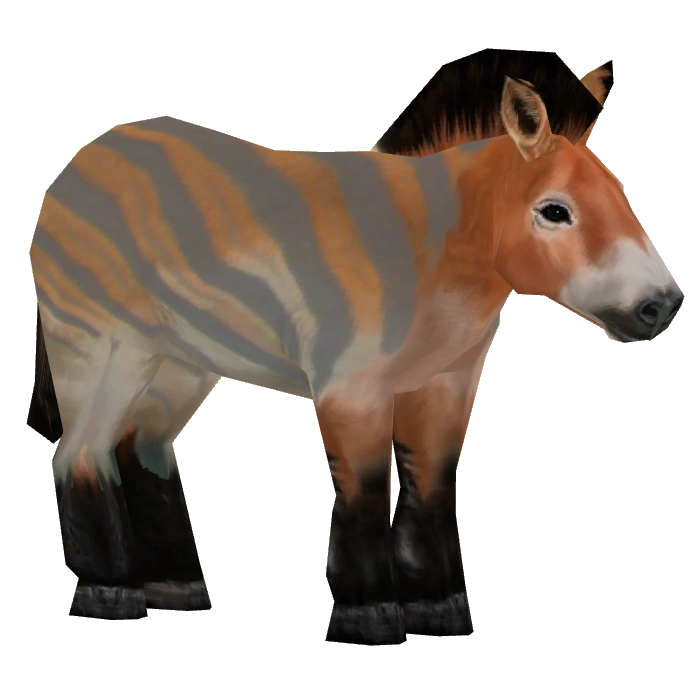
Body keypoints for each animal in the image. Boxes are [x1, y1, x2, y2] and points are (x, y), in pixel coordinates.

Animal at [26, 49, 683, 646]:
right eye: (554, 211)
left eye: (621, 196)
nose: (664, 305)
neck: (429, 250)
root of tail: (85, 156)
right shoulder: (351, 387)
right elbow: (365, 490)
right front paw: (368, 616)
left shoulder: (445, 383)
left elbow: (431, 486)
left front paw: (439, 609)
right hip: (105, 347)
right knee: (80, 454)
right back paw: (108, 594)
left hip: (178, 363)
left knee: (139, 449)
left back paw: (176, 588)